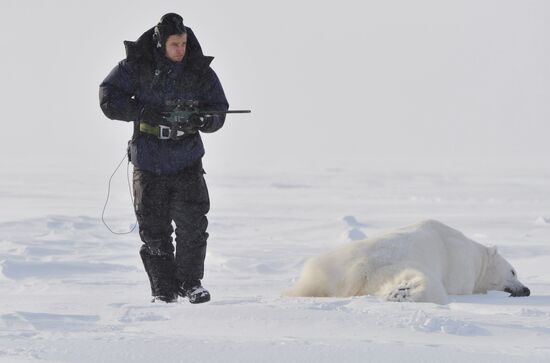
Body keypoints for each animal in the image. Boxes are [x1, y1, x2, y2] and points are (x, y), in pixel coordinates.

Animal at [284, 220, 532, 306]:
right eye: (513, 271)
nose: (526, 289)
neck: (476, 255)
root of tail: (360, 269)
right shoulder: (461, 268)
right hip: (405, 263)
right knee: (429, 284)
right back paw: (403, 293)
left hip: (328, 266)